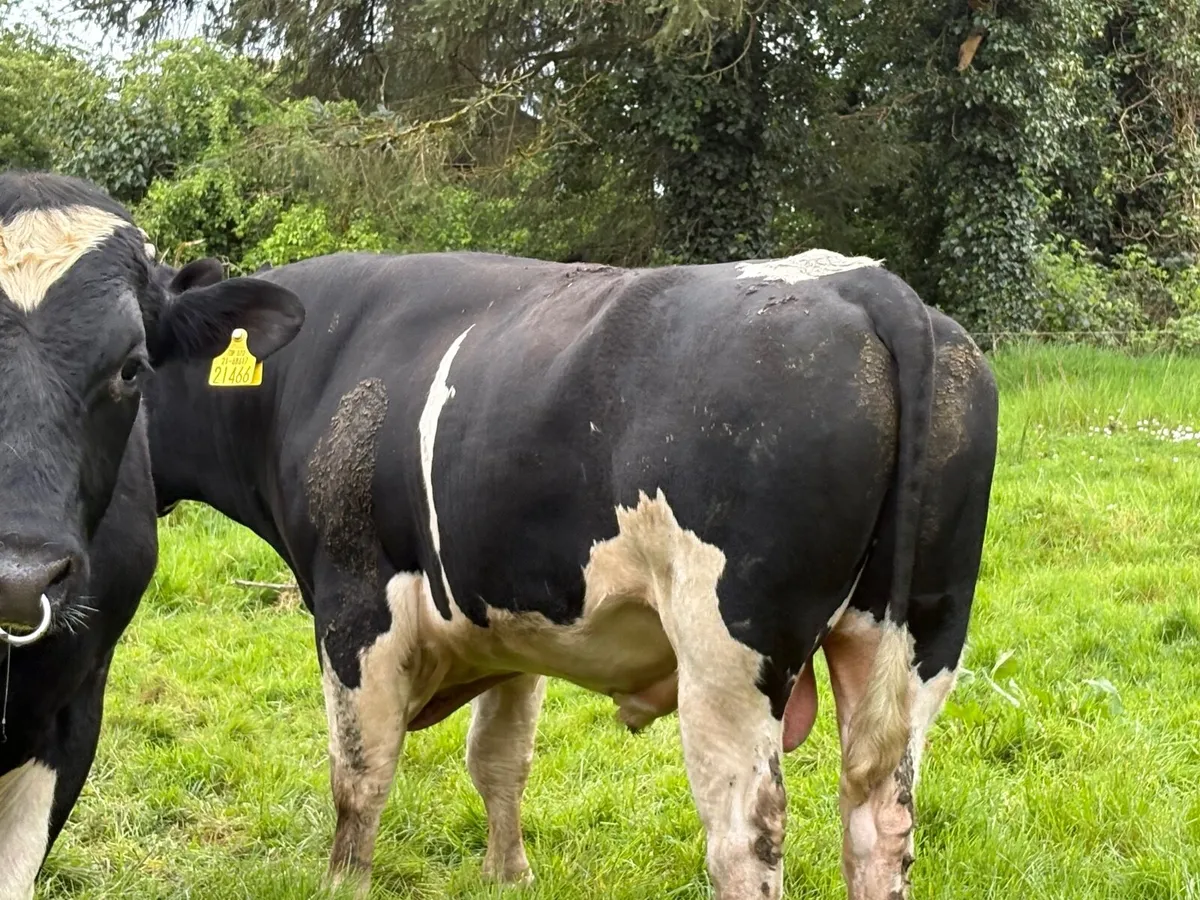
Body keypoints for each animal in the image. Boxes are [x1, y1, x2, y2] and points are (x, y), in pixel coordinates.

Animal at [144, 247, 998, 900]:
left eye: (134, 362)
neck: (317, 368)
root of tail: (861, 283)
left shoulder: (355, 604)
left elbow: (359, 774)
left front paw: (343, 885)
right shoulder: (506, 618)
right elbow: (499, 760)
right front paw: (508, 876)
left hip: (727, 654)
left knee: (747, 834)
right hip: (918, 635)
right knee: (880, 816)